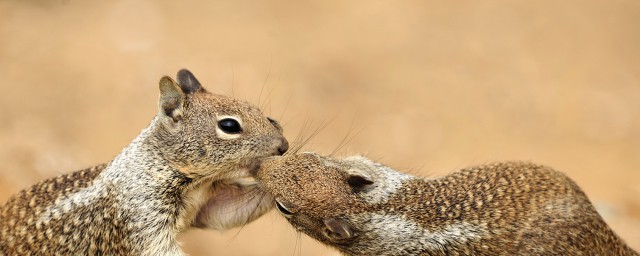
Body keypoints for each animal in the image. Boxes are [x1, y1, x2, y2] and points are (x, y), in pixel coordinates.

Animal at [0, 69, 286, 255]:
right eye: (229, 126)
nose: (283, 146)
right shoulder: (141, 214)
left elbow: (230, 211)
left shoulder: (210, 202)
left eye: (264, 115)